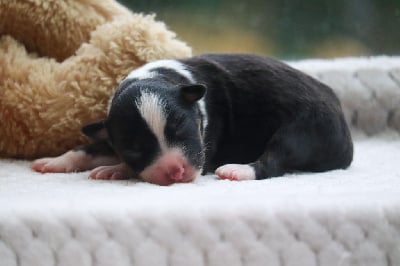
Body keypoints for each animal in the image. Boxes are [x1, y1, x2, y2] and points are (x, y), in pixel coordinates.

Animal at [32, 52, 354, 184]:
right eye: (134, 147)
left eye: (181, 130)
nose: (176, 172)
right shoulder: (110, 131)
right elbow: (88, 147)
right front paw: (55, 161)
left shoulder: (205, 148)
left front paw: (114, 169)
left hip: (302, 129)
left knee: (275, 160)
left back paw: (238, 170)